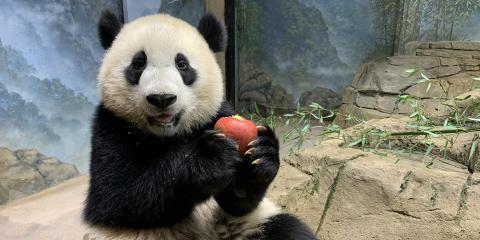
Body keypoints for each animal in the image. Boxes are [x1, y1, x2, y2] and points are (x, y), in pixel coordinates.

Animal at [84, 10, 316, 240]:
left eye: (182, 64)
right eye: (139, 63)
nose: (162, 98)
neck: (168, 135)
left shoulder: (216, 114)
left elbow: (238, 202)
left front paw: (261, 154)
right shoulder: (111, 127)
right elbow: (116, 197)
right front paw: (208, 158)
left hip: (251, 225)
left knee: (288, 229)